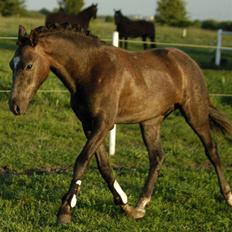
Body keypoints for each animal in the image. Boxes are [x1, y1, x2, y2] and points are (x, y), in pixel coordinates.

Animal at [8, 24, 232, 225]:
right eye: (11, 64)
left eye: (29, 65)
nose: (15, 106)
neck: (90, 70)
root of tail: (188, 61)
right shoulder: (89, 125)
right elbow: (104, 166)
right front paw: (125, 205)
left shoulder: (104, 124)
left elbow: (82, 161)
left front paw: (65, 211)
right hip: (150, 122)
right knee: (157, 157)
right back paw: (141, 205)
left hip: (195, 114)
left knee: (211, 150)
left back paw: (228, 196)